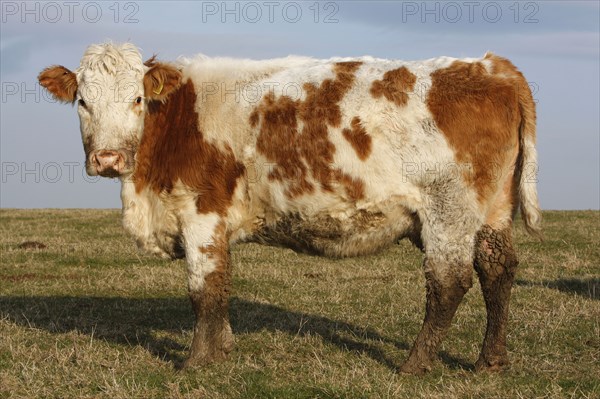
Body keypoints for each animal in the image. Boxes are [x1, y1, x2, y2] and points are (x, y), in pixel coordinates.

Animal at [38, 43, 544, 376]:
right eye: (82, 101)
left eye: (137, 99)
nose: (108, 159)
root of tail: (492, 66)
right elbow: (222, 285)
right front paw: (223, 349)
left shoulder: (200, 211)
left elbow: (204, 290)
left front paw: (198, 362)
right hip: (492, 213)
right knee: (498, 271)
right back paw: (490, 361)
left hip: (448, 211)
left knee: (449, 284)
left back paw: (415, 365)